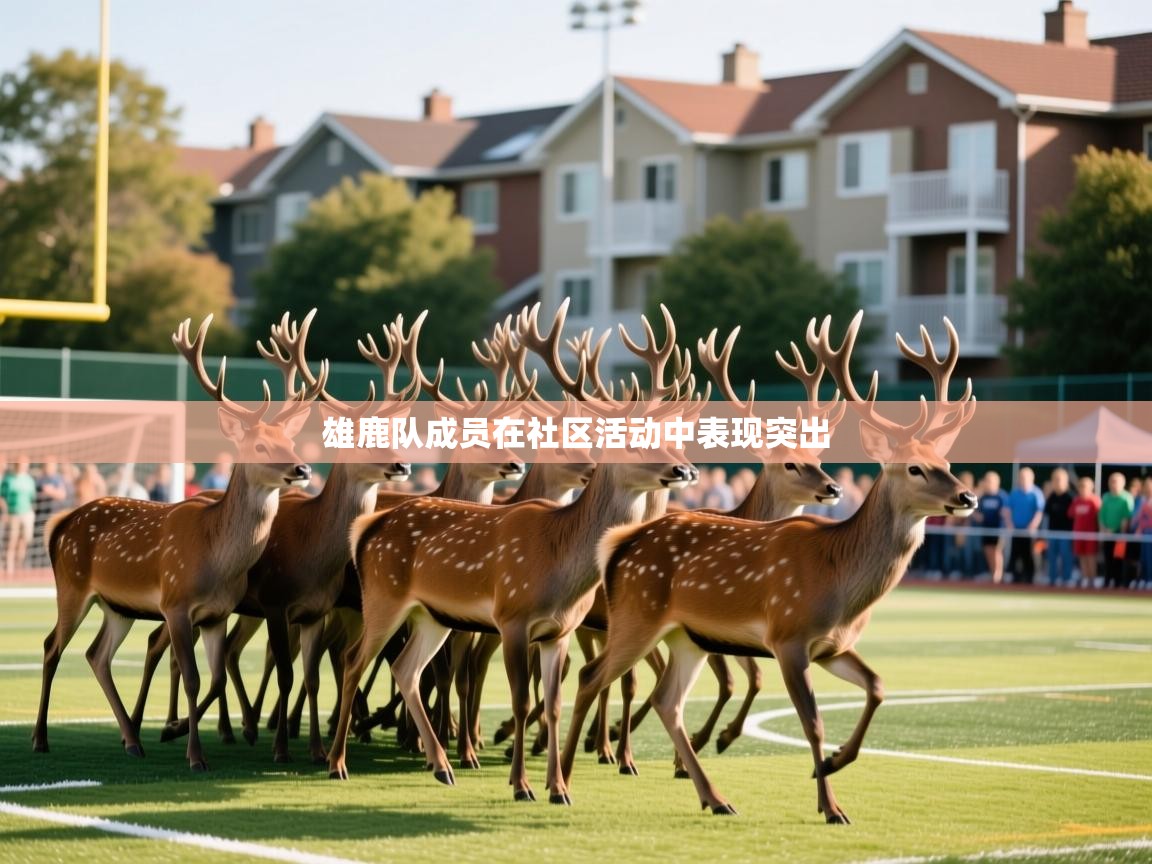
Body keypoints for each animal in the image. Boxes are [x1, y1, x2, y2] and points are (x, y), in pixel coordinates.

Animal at [33, 314, 323, 770]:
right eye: (260, 444)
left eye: (290, 441)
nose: (303, 468)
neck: (216, 557)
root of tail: (61, 524)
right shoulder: (175, 603)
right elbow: (192, 677)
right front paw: (195, 756)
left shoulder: (217, 613)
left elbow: (217, 677)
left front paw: (183, 735)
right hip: (72, 585)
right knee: (51, 647)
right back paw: (41, 739)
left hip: (117, 606)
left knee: (97, 655)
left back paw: (133, 740)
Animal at [328, 302, 699, 805]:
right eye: (629, 440)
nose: (683, 469)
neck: (560, 566)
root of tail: (369, 526)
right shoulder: (512, 618)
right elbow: (522, 701)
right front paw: (522, 785)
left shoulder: (560, 631)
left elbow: (557, 702)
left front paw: (558, 788)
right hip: (382, 598)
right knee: (353, 660)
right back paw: (338, 763)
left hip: (431, 615)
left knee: (406, 670)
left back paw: (442, 766)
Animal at [560, 311, 978, 821]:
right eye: (914, 468)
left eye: (946, 461)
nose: (968, 497)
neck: (840, 580)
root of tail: (620, 543)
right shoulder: (788, 635)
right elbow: (813, 723)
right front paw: (830, 804)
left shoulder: (833, 646)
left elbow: (878, 687)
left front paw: (834, 763)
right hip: (636, 618)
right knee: (592, 677)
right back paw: (563, 779)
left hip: (684, 636)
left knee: (666, 700)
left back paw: (713, 796)